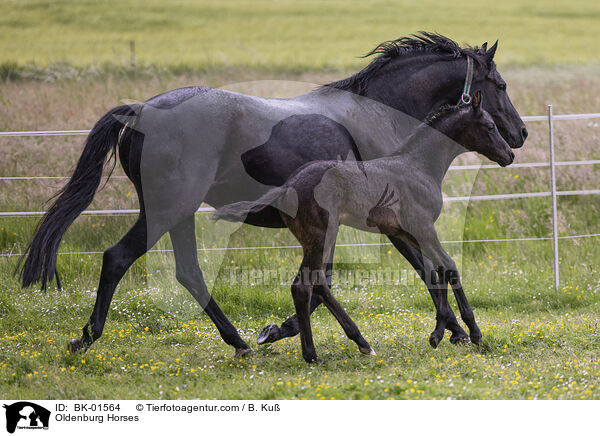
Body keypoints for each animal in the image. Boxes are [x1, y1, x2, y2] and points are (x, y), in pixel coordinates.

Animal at [218, 93, 512, 364]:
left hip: (316, 239)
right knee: (304, 286)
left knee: (316, 282)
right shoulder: (424, 228)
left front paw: (439, 334)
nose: (509, 154)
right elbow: (449, 267)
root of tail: (288, 185)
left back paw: (358, 343)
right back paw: (315, 355)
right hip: (321, 236)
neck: (418, 166)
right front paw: (473, 332)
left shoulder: (409, 233)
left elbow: (434, 273)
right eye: (489, 125)